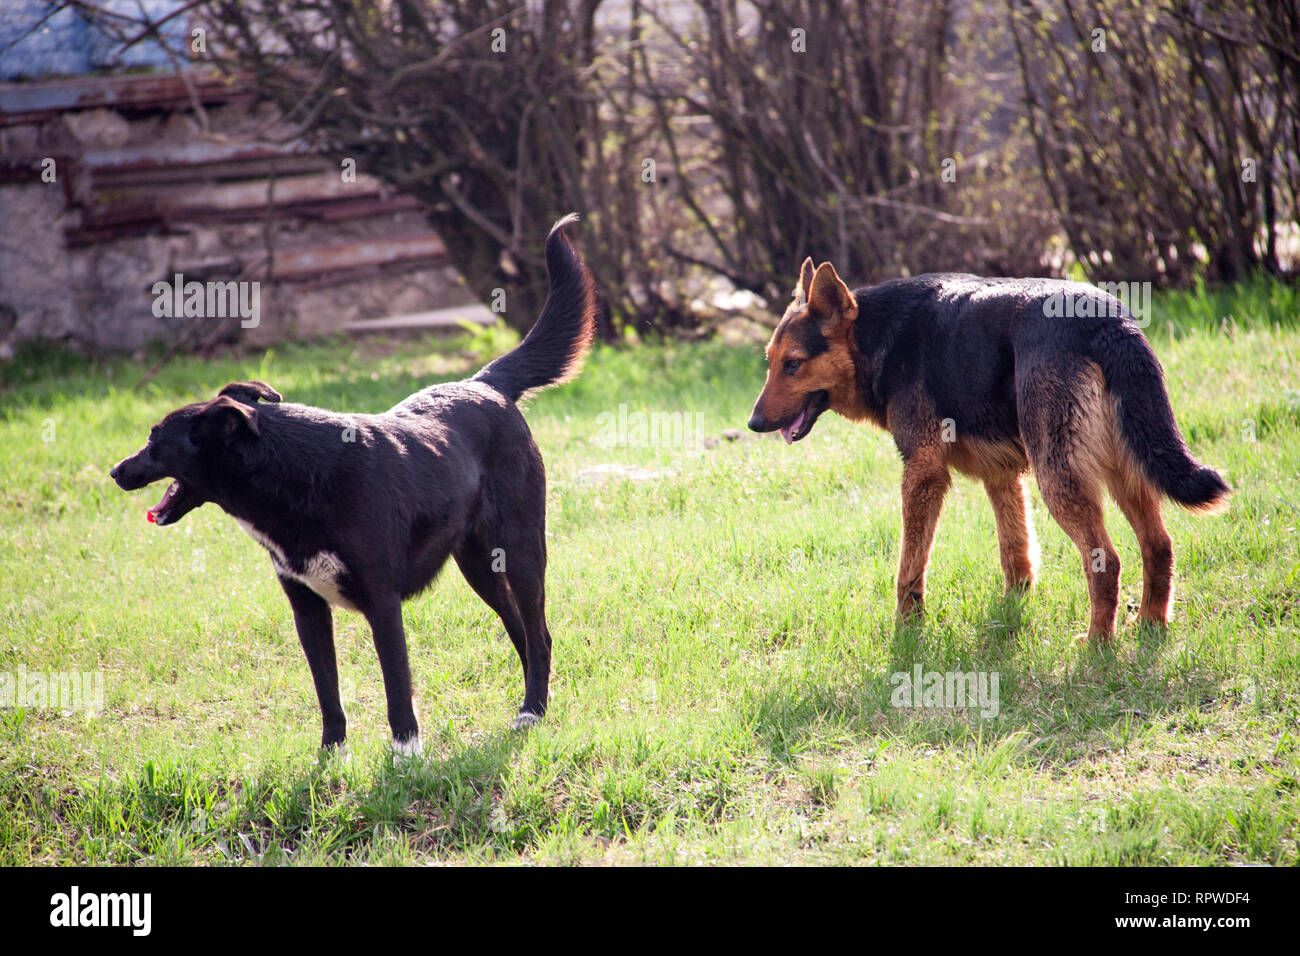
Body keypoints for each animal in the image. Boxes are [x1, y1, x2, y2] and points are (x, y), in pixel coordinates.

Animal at [111, 217, 598, 754]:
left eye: (155, 441)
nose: (116, 471)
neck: (294, 473)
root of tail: (484, 383)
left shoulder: (383, 604)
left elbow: (396, 688)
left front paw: (406, 755)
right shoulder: (306, 609)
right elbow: (328, 691)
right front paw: (332, 756)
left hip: (521, 551)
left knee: (539, 632)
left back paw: (533, 710)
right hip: (478, 565)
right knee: (524, 634)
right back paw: (532, 704)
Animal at [754, 257, 1227, 639]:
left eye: (793, 365)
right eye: (769, 362)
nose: (753, 424)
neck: (875, 336)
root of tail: (1110, 322)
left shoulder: (923, 474)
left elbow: (908, 568)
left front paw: (905, 631)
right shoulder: (1002, 477)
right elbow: (1015, 553)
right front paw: (1012, 610)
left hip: (1060, 478)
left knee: (1106, 562)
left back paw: (1097, 644)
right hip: (1123, 470)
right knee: (1159, 545)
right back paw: (1149, 624)